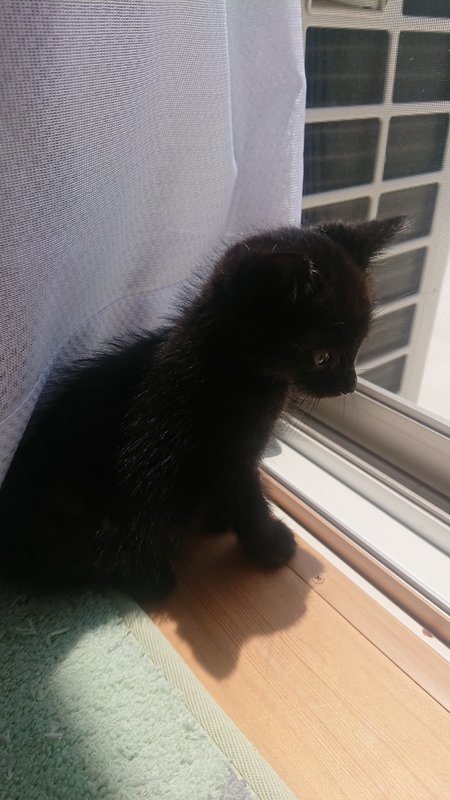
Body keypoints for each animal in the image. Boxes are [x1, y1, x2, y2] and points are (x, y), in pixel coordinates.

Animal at [0, 217, 403, 598]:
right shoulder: (225, 454)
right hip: (89, 516)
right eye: (322, 357)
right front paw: (271, 547)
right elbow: (247, 499)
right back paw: (153, 576)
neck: (225, 361)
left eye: (358, 346)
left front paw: (222, 518)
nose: (350, 384)